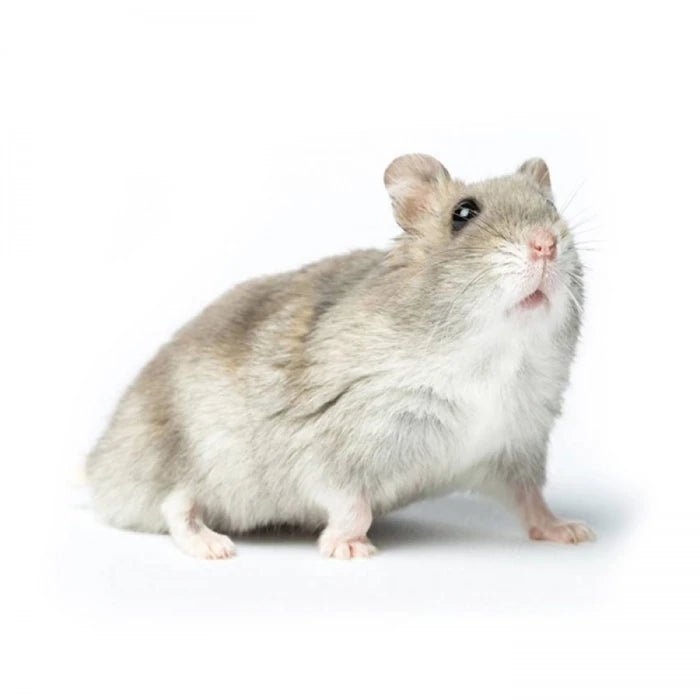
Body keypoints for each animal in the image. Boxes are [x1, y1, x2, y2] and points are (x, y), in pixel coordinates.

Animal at [86, 154, 594, 559]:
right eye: (463, 213)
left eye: (551, 209)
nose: (546, 244)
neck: (495, 357)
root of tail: (96, 468)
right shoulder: (335, 449)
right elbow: (352, 505)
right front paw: (350, 549)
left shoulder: (515, 446)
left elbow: (531, 500)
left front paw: (572, 532)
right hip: (190, 460)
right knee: (176, 505)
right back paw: (214, 548)